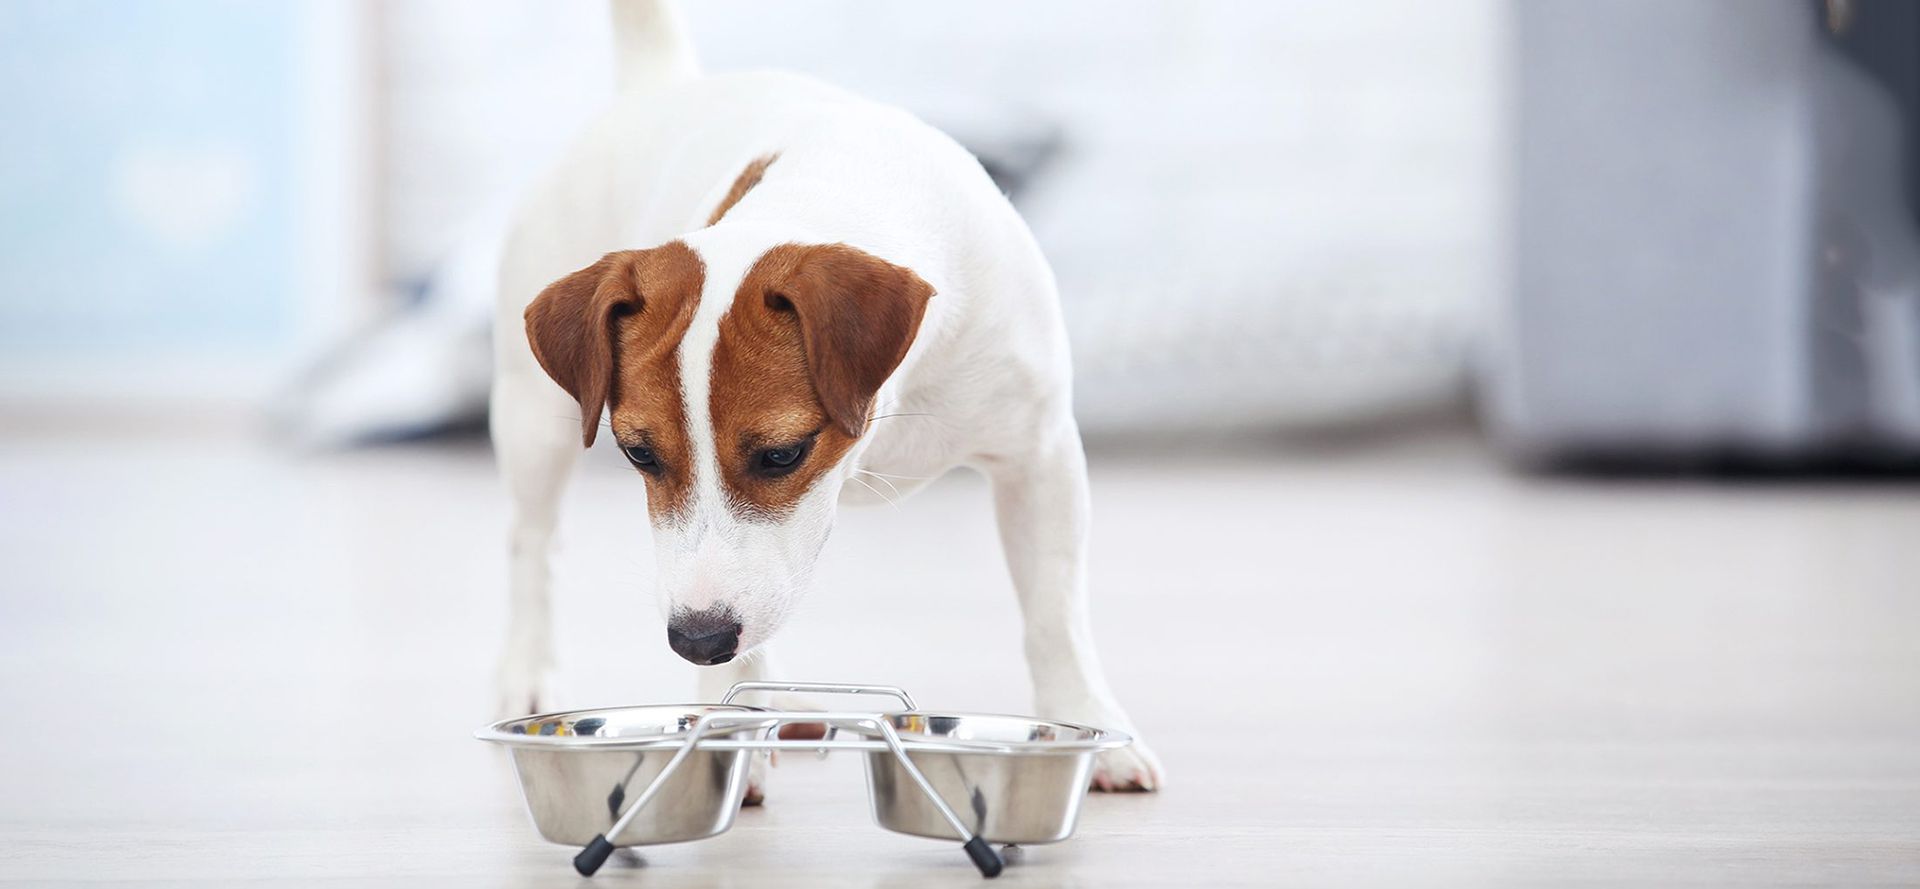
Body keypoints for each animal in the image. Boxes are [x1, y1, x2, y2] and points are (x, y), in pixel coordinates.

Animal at [487, 0, 1159, 794]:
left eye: (783, 453)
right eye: (638, 454)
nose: (697, 639)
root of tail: (657, 88)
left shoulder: (1040, 454)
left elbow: (1055, 611)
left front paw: (1091, 726)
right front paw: (723, 732)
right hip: (534, 423)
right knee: (532, 544)